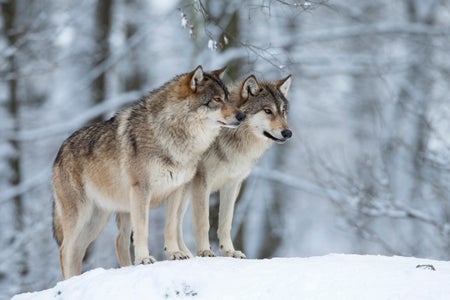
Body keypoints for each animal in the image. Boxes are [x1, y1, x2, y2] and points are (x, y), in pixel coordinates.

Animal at [51, 65, 246, 278]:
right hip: (82, 217)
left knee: (101, 245)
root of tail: (60, 151)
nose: (242, 116)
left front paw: (175, 253)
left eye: (228, 97)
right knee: (65, 250)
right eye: (217, 100)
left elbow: (170, 227)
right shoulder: (141, 190)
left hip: (98, 220)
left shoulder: (176, 190)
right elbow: (143, 229)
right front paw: (144, 259)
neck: (172, 133)